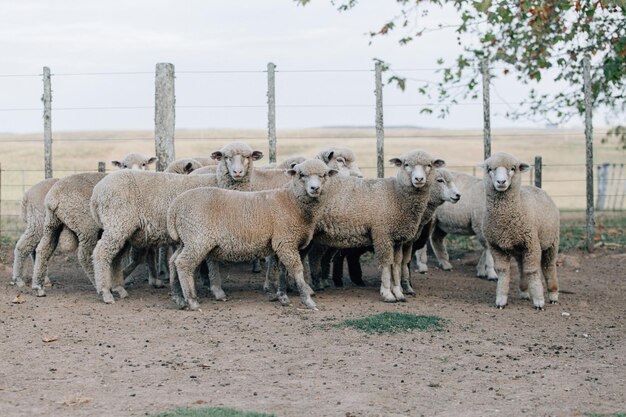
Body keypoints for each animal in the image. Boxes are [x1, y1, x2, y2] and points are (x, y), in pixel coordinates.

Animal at [29, 153, 157, 296]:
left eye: (144, 164)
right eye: (124, 165)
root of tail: (54, 197)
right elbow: (136, 257)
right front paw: (124, 278)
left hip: (52, 222)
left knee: (43, 249)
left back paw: (38, 287)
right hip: (86, 226)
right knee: (84, 255)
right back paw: (99, 285)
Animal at [89, 169, 218, 302]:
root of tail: (96, 193)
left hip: (122, 229)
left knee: (116, 257)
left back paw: (119, 288)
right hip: (116, 224)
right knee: (101, 253)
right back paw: (105, 291)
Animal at [166, 158, 336, 310]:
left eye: (324, 175)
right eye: (301, 175)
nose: (314, 188)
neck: (292, 202)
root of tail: (175, 205)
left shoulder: (282, 243)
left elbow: (282, 270)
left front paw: (282, 297)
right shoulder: (286, 241)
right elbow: (296, 269)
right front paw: (308, 300)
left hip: (186, 240)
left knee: (173, 261)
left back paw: (178, 298)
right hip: (197, 238)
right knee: (183, 263)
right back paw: (191, 301)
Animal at [308, 150, 444, 302]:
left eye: (429, 165)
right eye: (406, 164)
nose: (419, 179)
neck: (396, 194)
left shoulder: (397, 240)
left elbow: (396, 264)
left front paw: (398, 292)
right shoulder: (382, 234)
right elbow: (386, 264)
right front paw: (387, 293)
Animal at [478, 153, 560, 308]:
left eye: (513, 168)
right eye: (490, 169)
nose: (501, 181)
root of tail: (537, 187)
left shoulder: (532, 244)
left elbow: (532, 271)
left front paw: (539, 301)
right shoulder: (496, 246)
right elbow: (503, 272)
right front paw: (501, 299)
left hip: (551, 242)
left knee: (548, 266)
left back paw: (553, 295)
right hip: (519, 249)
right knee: (522, 268)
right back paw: (524, 292)